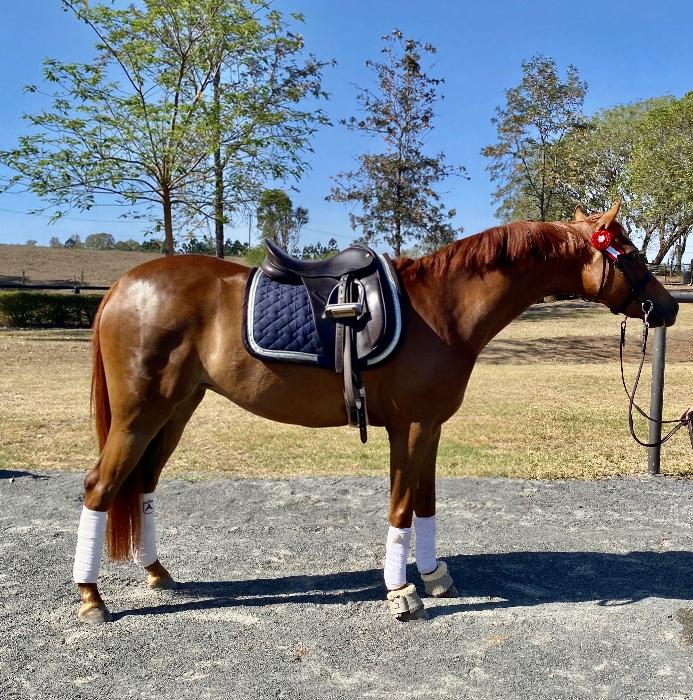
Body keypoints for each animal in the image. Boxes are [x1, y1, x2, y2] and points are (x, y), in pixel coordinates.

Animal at [72, 201, 678, 624]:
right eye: (632, 253)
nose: (668, 307)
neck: (443, 308)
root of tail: (122, 286)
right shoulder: (408, 428)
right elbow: (402, 508)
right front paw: (401, 593)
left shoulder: (429, 428)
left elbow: (426, 504)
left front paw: (432, 575)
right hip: (140, 414)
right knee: (101, 486)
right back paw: (91, 597)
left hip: (176, 410)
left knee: (144, 483)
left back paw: (157, 573)